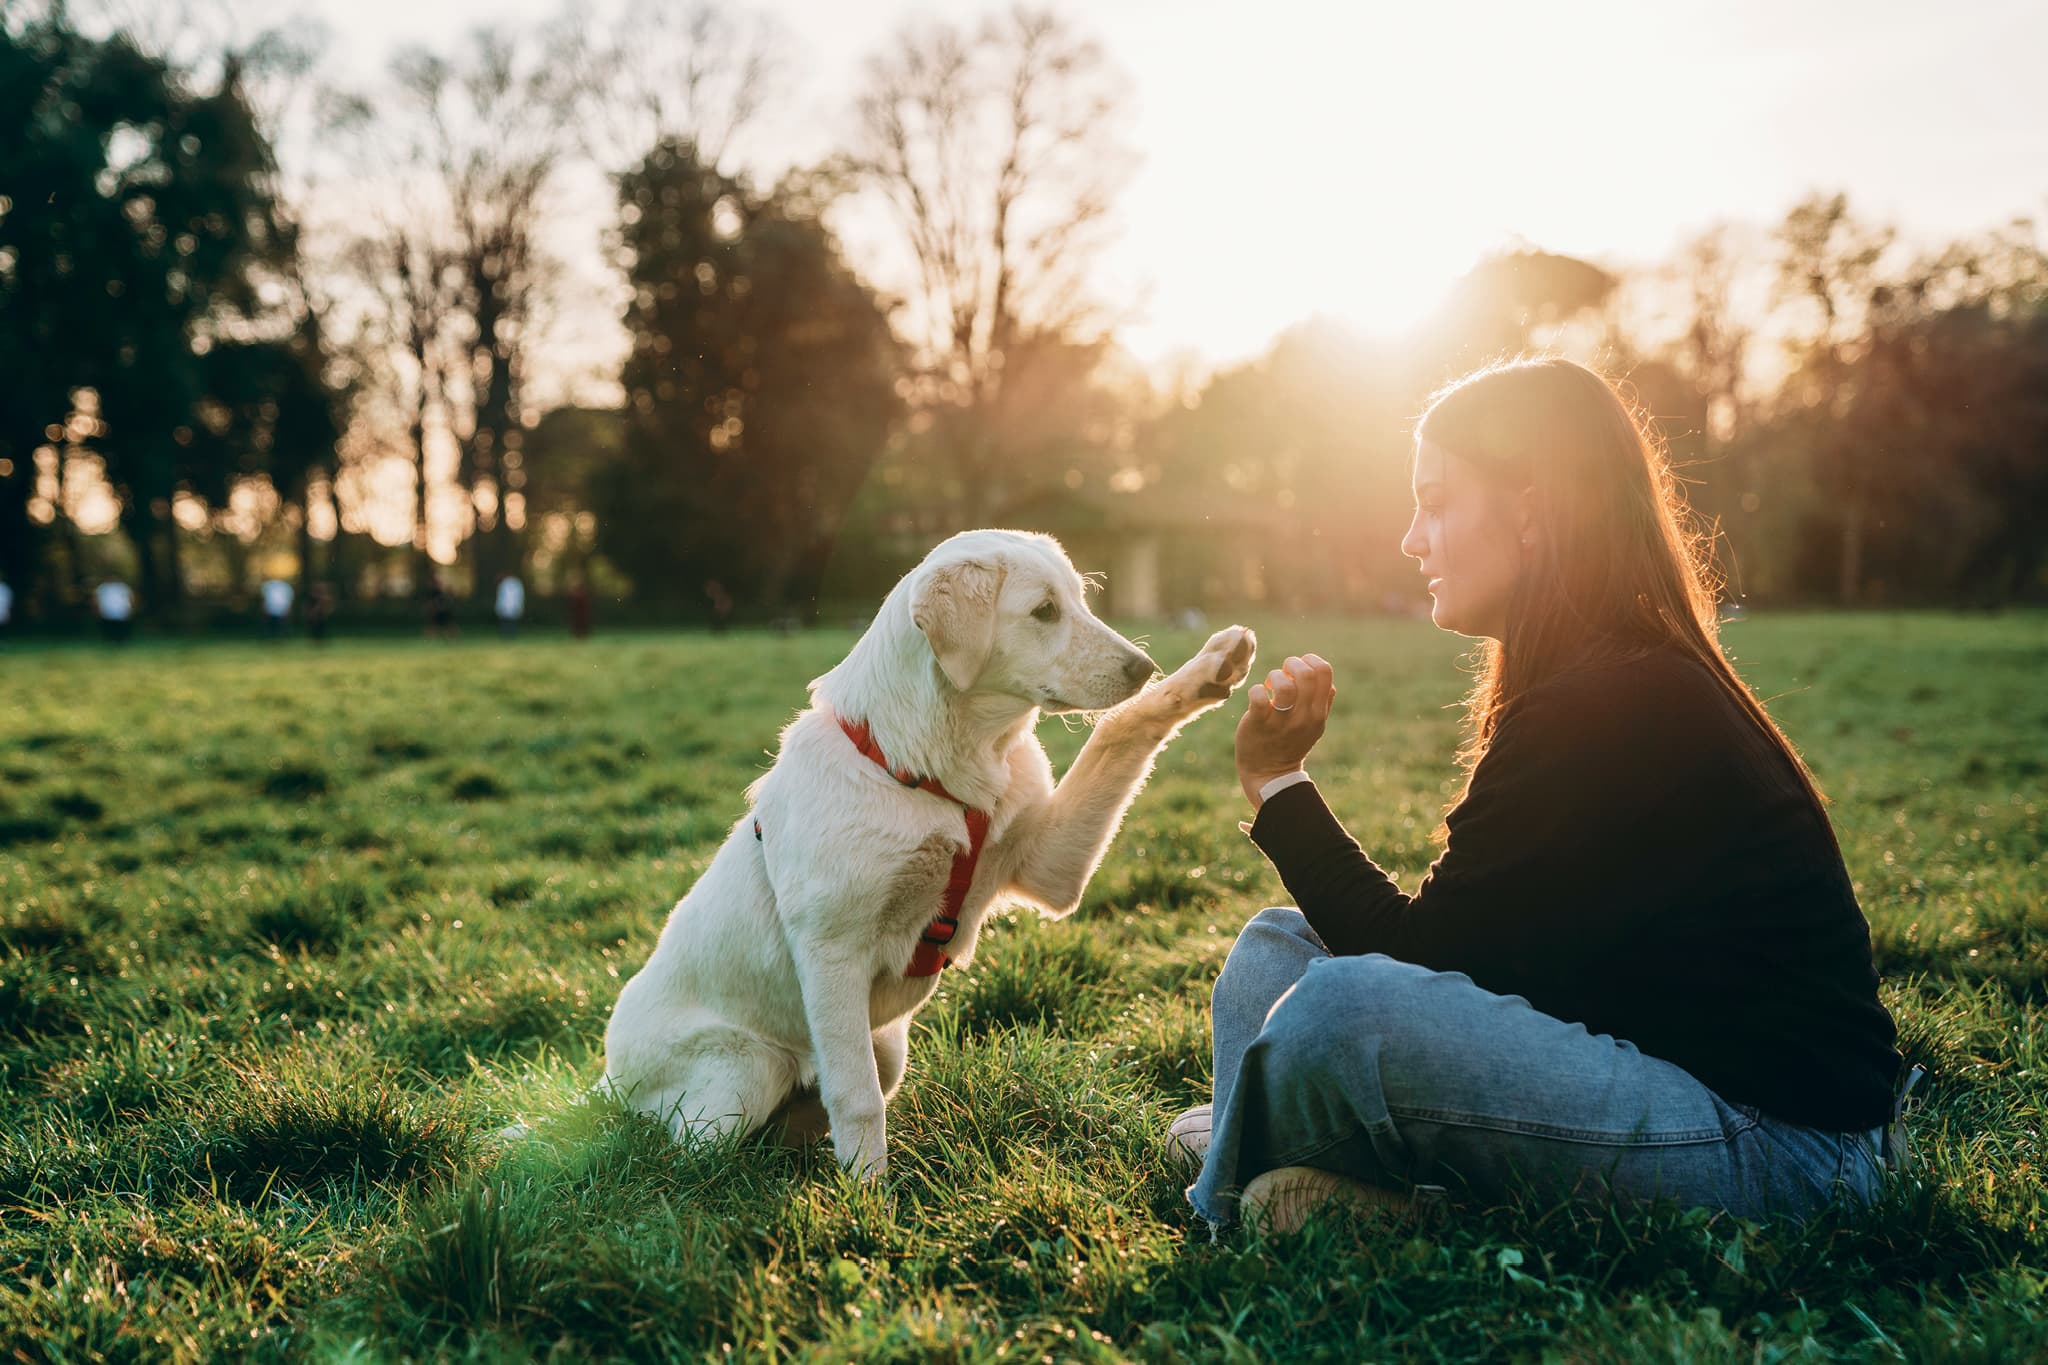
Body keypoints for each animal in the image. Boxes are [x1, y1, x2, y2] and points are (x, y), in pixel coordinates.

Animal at [598, 527, 1253, 1178]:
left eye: (1080, 601)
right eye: (1044, 611)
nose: (1144, 666)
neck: (931, 772)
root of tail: (603, 1082)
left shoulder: (1050, 867)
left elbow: (1118, 729)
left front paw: (1207, 672)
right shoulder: (831, 951)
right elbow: (856, 1097)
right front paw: (868, 1196)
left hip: (884, 1046)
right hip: (747, 1070)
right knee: (688, 1152)